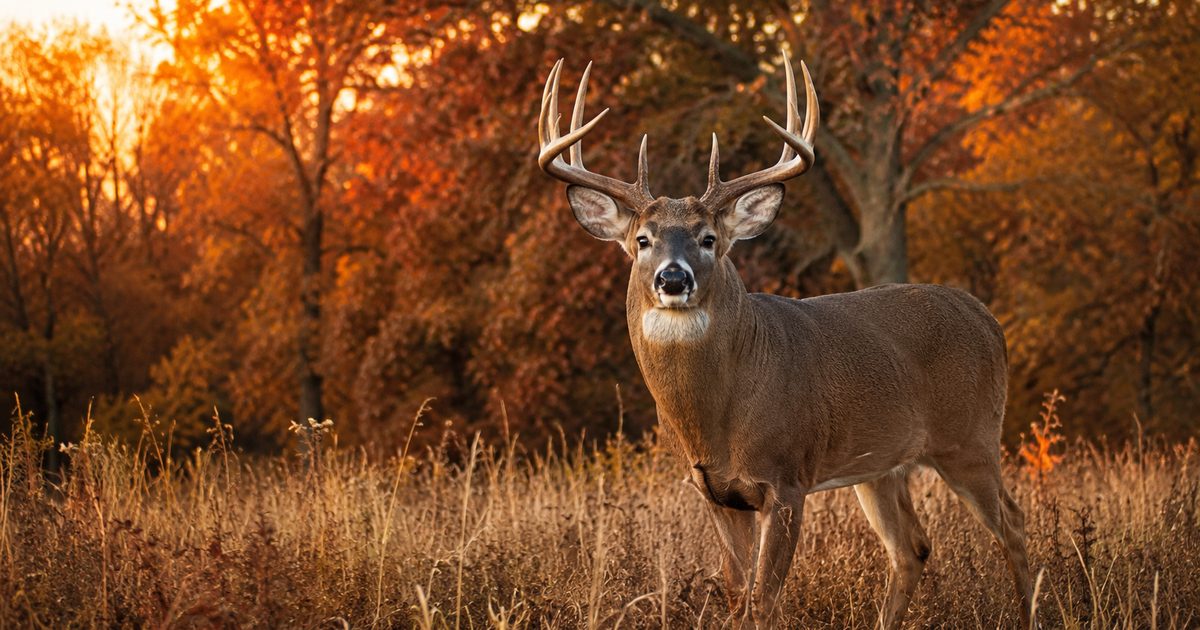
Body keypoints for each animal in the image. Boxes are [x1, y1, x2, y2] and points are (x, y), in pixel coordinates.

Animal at [535, 55, 1034, 629]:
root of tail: (988, 319)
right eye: (642, 240)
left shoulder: (788, 478)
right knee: (911, 549)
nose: (673, 278)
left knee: (1014, 527)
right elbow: (736, 597)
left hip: (971, 437)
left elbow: (764, 600)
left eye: (709, 239)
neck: (719, 419)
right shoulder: (716, 492)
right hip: (882, 466)